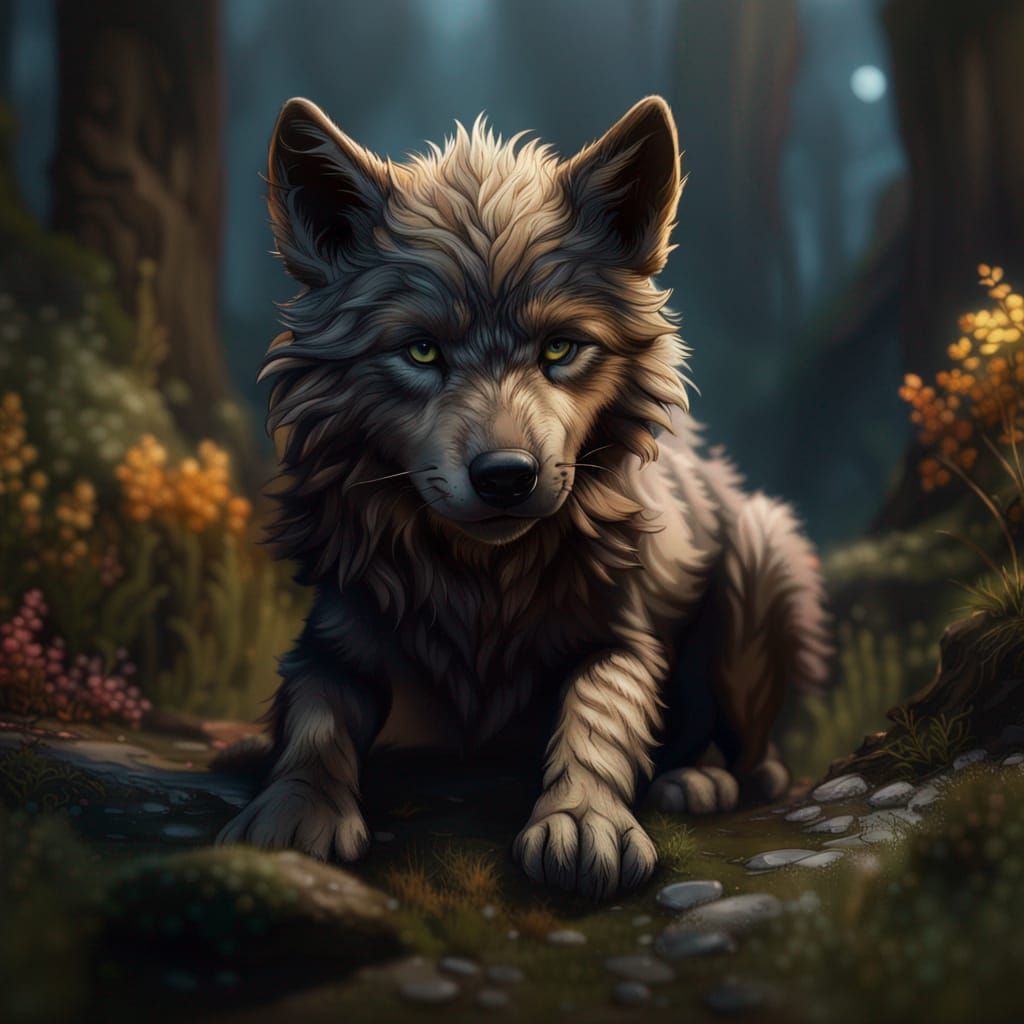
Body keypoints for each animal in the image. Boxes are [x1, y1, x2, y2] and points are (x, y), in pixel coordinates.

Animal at [217, 95, 831, 899]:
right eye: (421, 351)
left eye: (560, 348)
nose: (506, 475)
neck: (482, 581)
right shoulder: (336, 634)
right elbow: (313, 714)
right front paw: (294, 808)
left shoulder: (622, 634)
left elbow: (598, 708)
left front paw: (580, 820)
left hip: (758, 553)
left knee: (757, 757)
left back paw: (697, 778)